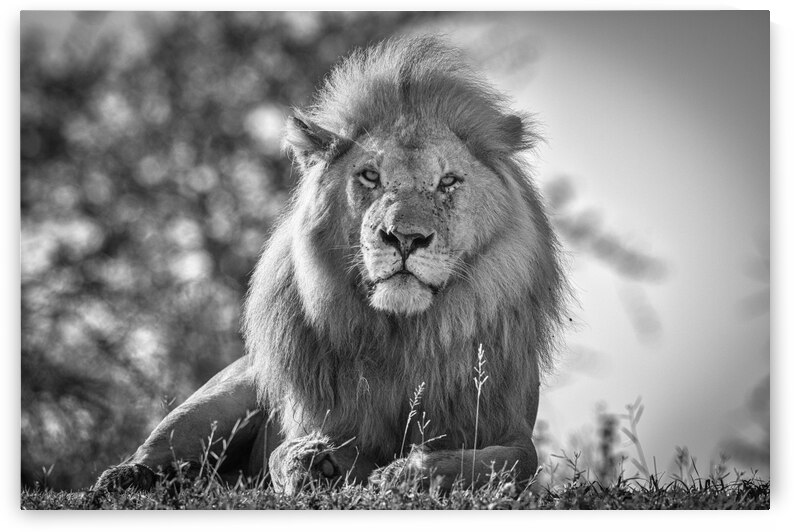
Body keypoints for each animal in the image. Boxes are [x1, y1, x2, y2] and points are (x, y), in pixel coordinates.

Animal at [93, 35, 564, 495]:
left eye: (447, 181)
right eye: (370, 176)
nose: (405, 238)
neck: (405, 337)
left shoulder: (510, 427)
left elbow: (506, 463)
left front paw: (407, 473)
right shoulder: (311, 417)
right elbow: (282, 454)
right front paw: (313, 462)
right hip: (222, 396)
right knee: (159, 451)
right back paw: (124, 478)